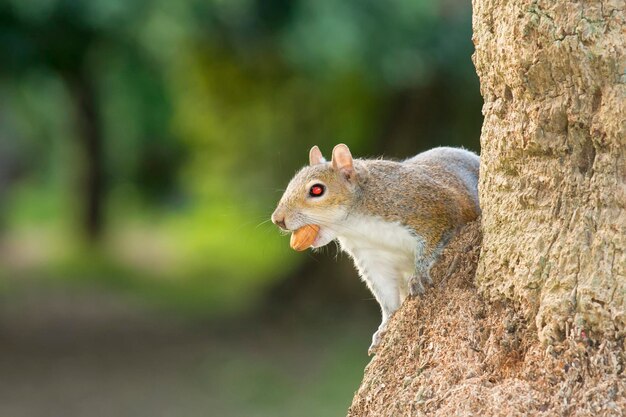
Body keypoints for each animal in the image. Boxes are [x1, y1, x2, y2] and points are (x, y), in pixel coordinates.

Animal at [270, 144, 480, 354]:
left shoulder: (432, 209)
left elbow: (434, 241)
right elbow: (385, 293)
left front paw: (420, 273)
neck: (356, 224)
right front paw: (385, 325)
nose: (277, 220)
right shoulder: (371, 256)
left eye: (316, 189)